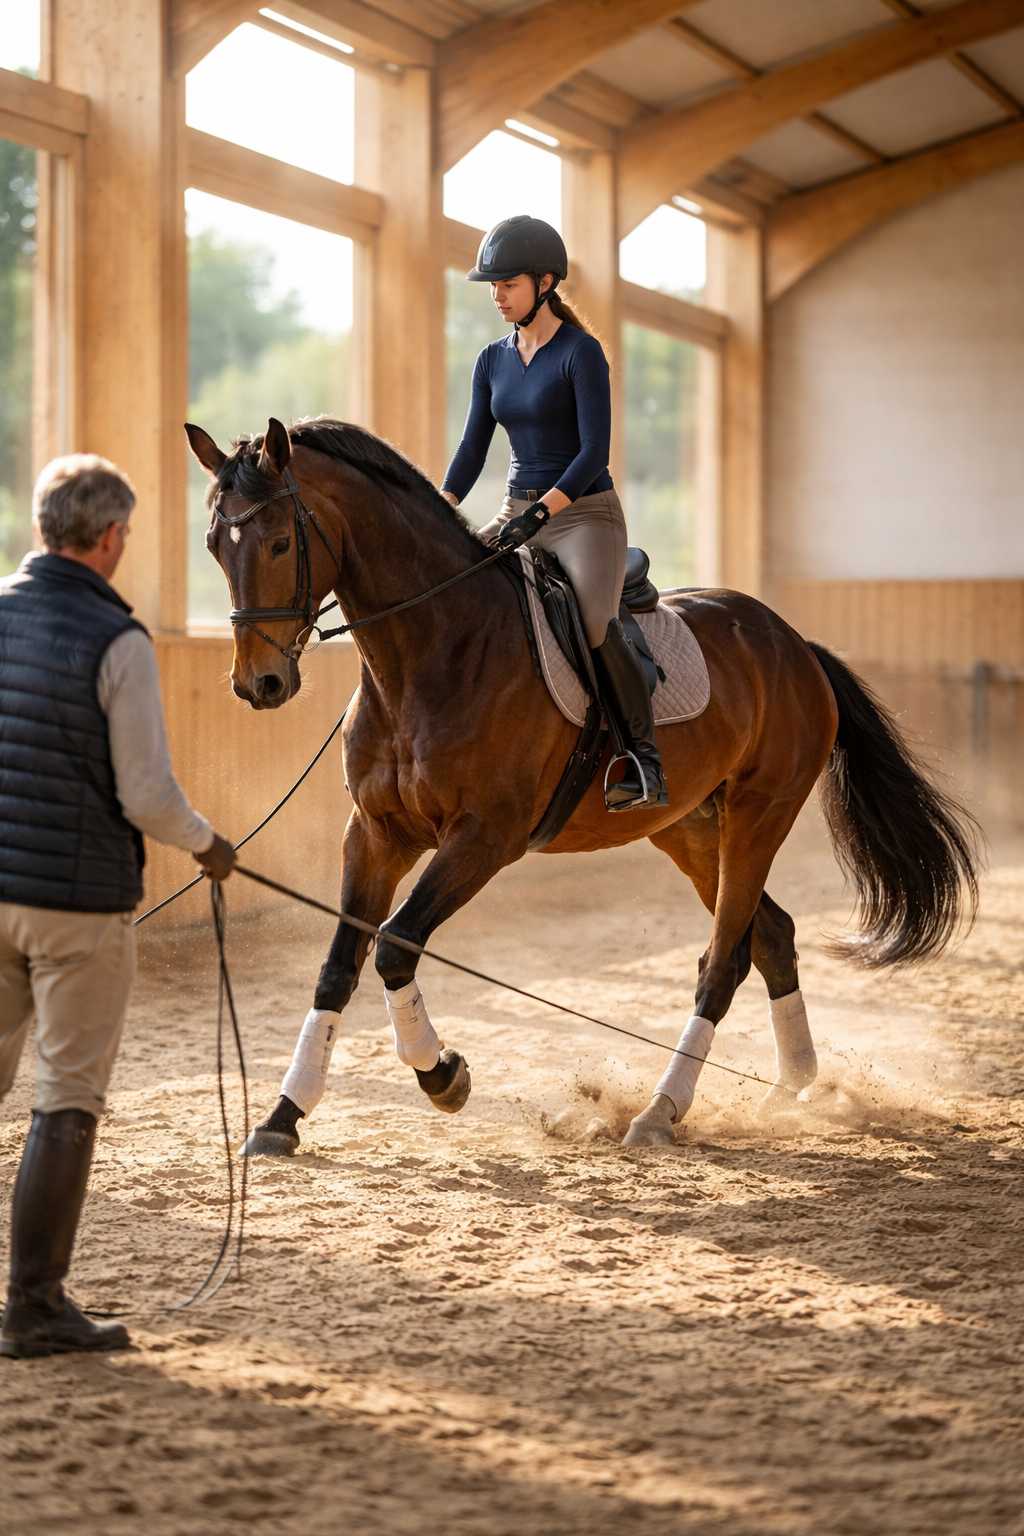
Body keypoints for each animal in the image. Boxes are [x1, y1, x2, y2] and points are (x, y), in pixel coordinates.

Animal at [185, 415, 980, 1154]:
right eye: (216, 546)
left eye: (279, 543)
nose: (259, 684)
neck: (432, 652)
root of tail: (793, 642)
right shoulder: (376, 835)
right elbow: (338, 966)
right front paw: (283, 1117)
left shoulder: (484, 838)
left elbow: (394, 945)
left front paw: (444, 1075)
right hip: (692, 829)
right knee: (773, 937)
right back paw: (794, 1088)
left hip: (761, 815)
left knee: (722, 963)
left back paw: (661, 1111)